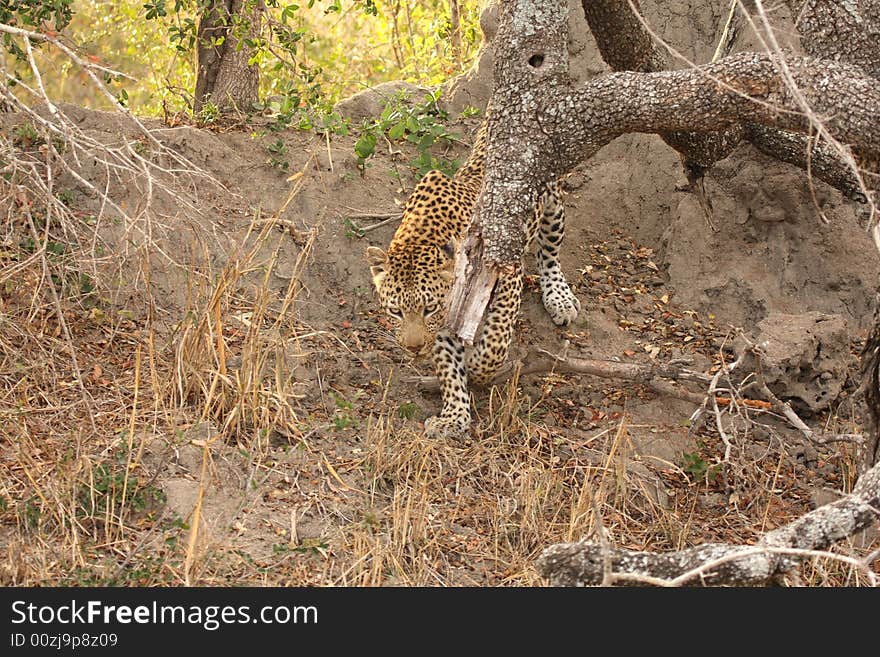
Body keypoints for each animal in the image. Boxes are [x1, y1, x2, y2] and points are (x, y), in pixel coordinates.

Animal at [368, 121, 580, 440]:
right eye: (396, 311)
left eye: (428, 309)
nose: (414, 348)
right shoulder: (447, 318)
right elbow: (447, 365)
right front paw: (453, 416)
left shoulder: (506, 275)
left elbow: (495, 341)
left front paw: (478, 367)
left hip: (553, 202)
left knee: (549, 252)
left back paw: (560, 298)